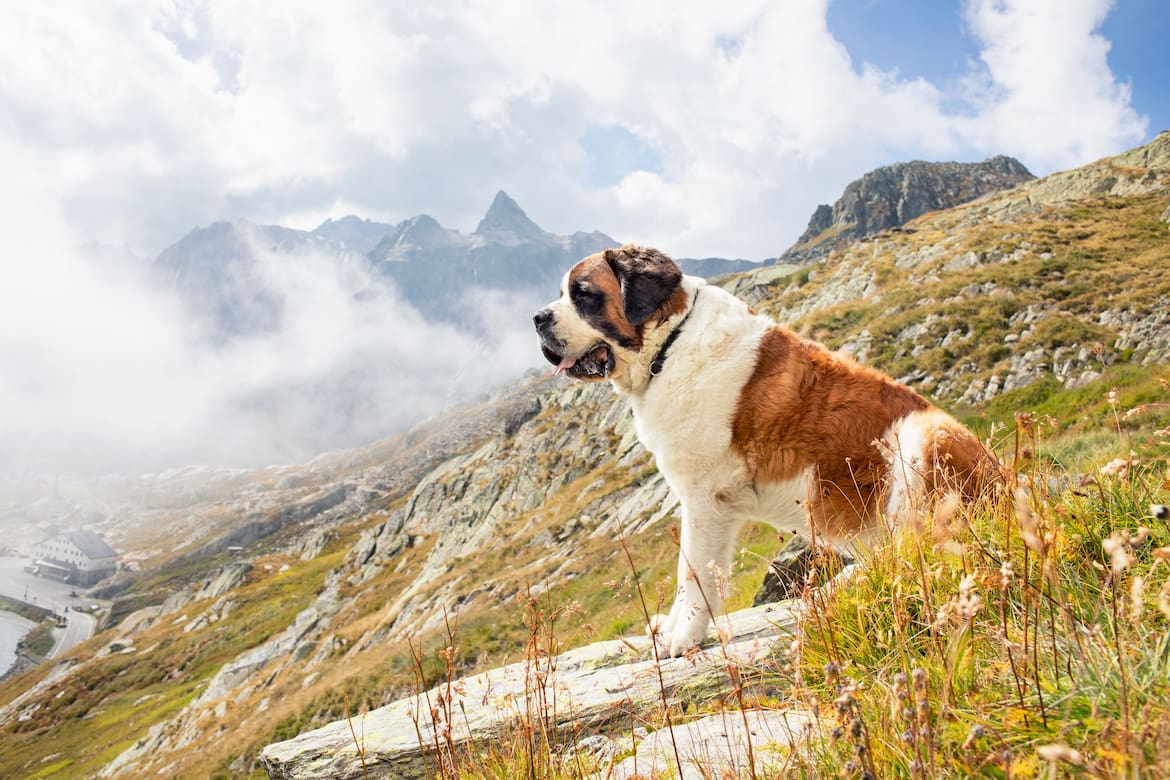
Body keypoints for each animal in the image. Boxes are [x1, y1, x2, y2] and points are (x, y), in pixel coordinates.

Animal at [535, 244, 1001, 659]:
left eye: (583, 294)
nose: (538, 317)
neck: (669, 344)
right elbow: (692, 569)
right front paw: (669, 630)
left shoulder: (705, 499)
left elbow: (694, 571)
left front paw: (682, 638)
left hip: (922, 439)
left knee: (918, 549)